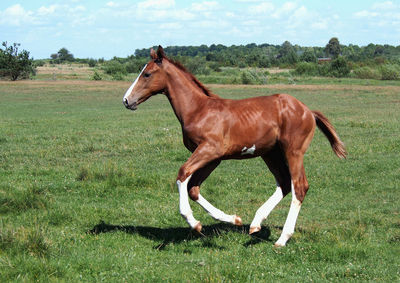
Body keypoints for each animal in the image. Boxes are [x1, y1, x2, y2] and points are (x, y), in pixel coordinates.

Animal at [122, 45, 346, 247]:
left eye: (147, 74)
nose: (126, 100)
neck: (198, 109)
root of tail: (308, 110)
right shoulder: (213, 158)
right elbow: (193, 188)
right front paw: (232, 219)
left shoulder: (210, 150)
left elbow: (182, 173)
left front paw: (193, 222)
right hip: (270, 154)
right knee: (283, 183)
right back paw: (255, 224)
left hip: (293, 152)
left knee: (299, 186)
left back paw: (282, 239)